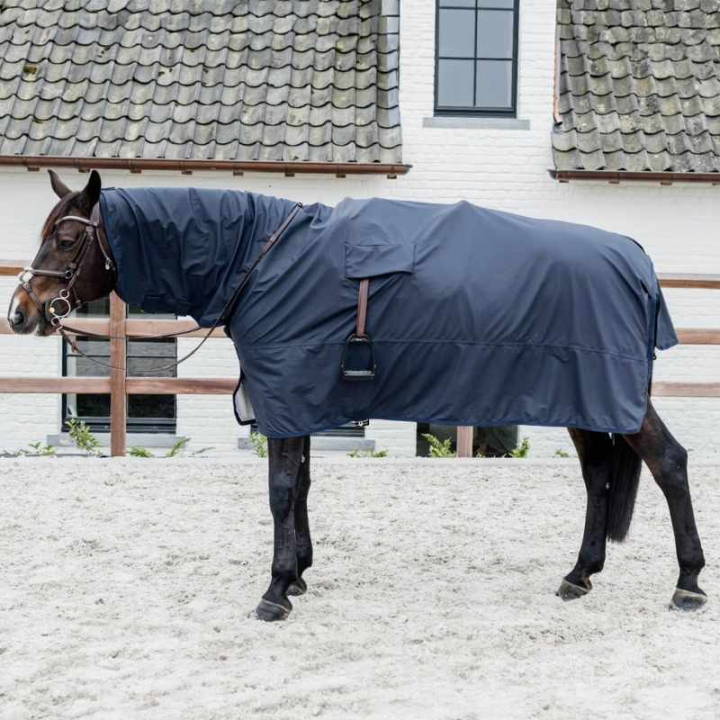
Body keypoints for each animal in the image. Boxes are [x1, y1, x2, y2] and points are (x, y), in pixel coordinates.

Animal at [7, 169, 707, 621]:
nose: (20, 312)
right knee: (599, 476)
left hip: (610, 396)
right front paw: (299, 574)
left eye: (66, 239)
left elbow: (280, 490)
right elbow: (302, 485)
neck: (260, 259)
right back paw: (580, 575)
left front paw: (275, 590)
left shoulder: (286, 396)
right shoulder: (296, 399)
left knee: (668, 464)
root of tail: (637, 260)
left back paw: (688, 584)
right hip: (584, 402)